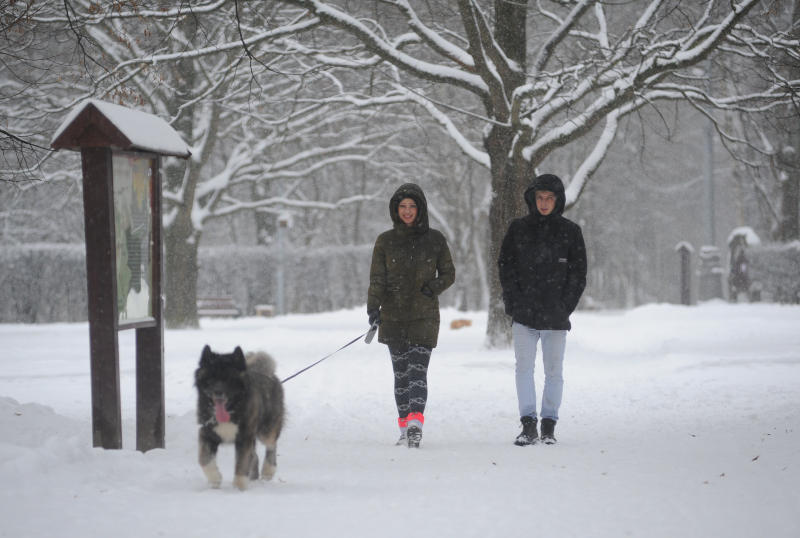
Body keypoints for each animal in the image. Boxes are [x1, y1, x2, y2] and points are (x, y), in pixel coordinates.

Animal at [194, 346, 284, 488]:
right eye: (211, 378)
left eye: (228, 379)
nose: (218, 392)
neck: (232, 410)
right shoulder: (206, 433)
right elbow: (204, 459)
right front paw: (215, 479)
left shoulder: (244, 437)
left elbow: (242, 464)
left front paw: (238, 487)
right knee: (255, 456)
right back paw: (253, 478)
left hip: (267, 430)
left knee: (271, 445)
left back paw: (268, 471)